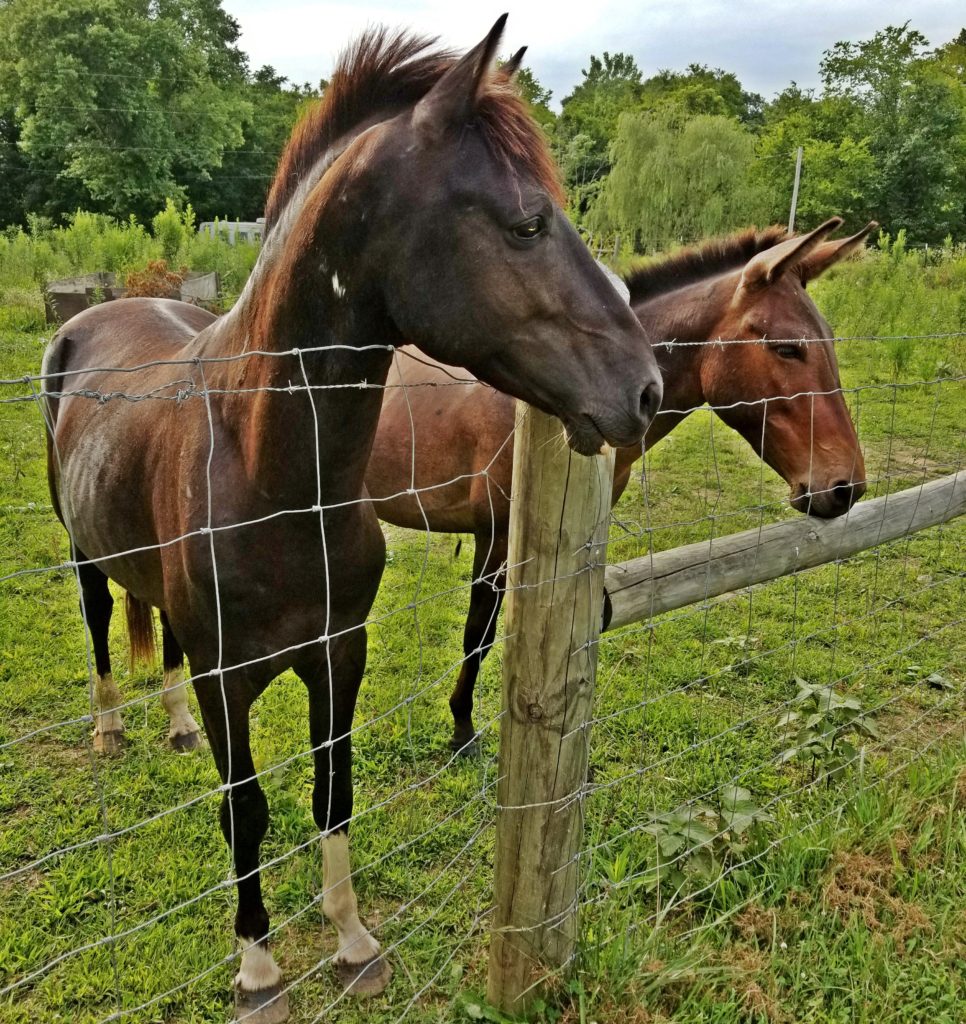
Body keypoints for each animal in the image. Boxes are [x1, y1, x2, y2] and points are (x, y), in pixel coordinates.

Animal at [41, 20, 662, 1022]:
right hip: (83, 555)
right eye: (527, 222)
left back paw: (169, 727)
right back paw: (110, 731)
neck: (273, 473)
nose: (643, 389)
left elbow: (333, 789)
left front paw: (353, 941)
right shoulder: (227, 677)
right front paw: (258, 968)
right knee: (102, 628)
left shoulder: (341, 652)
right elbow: (246, 808)